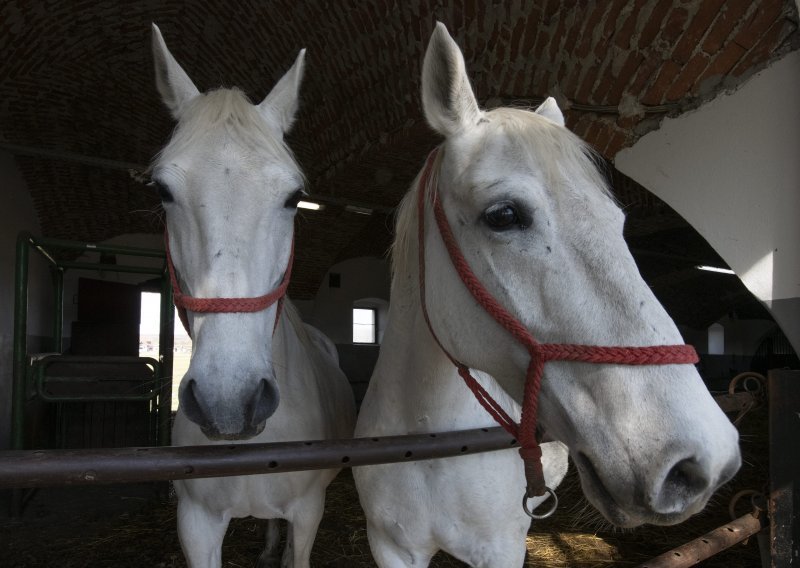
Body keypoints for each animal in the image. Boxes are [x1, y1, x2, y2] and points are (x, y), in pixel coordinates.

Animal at [354, 20, 740, 564]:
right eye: (503, 215)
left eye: (617, 222)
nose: (702, 459)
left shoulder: (499, 549)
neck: (427, 444)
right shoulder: (390, 547)